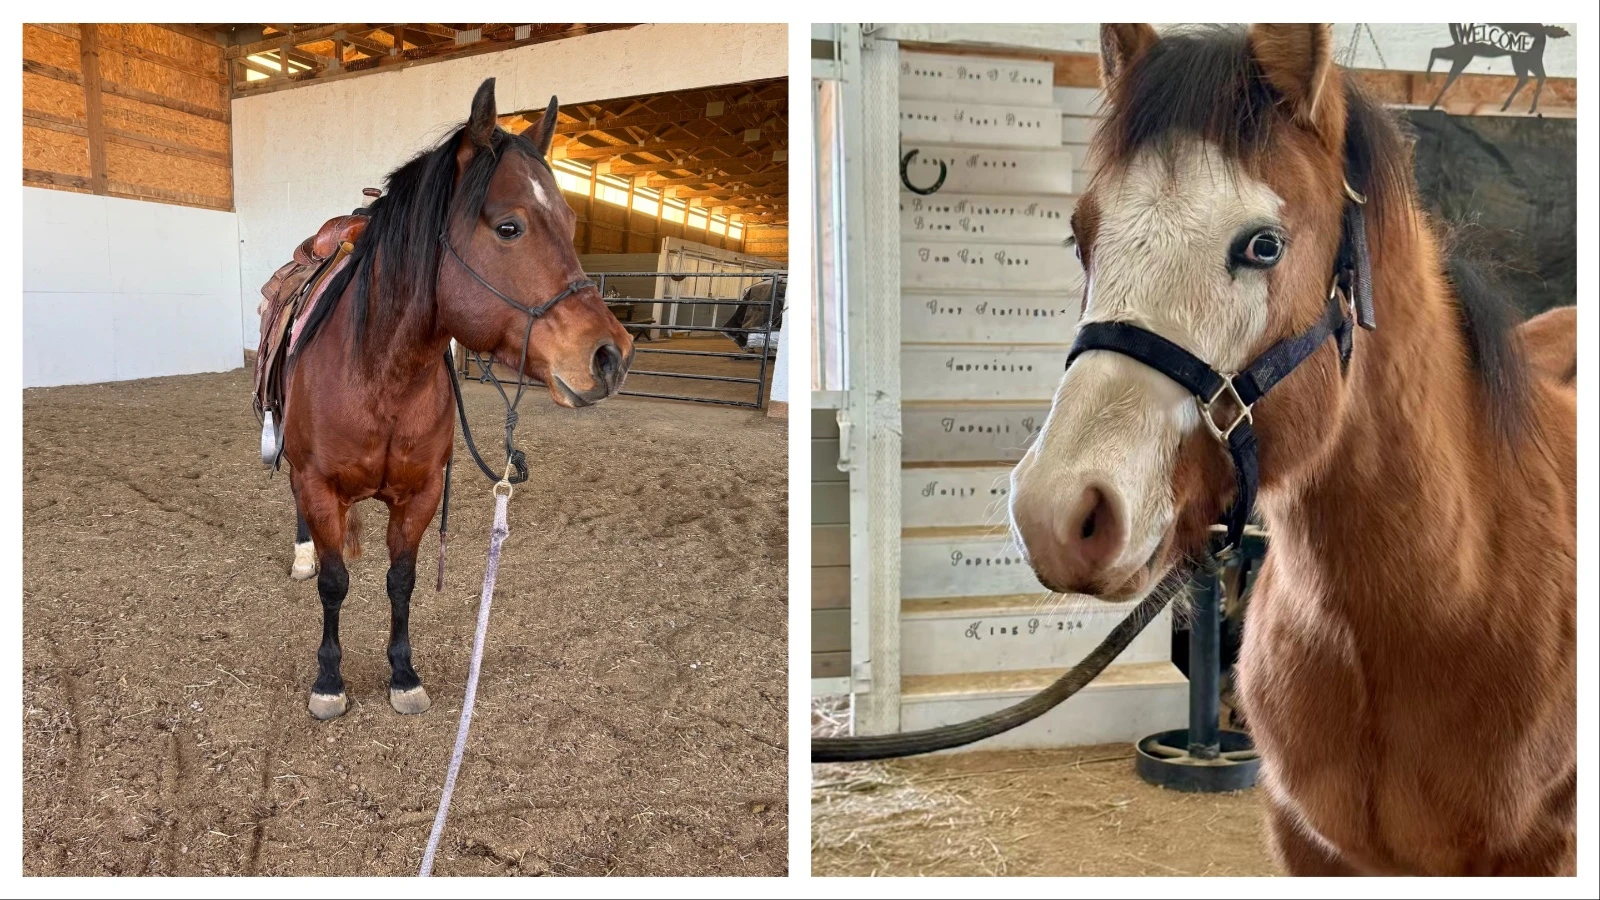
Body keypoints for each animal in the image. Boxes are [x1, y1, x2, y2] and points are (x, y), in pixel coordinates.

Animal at [276, 78, 633, 720]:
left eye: (571, 221)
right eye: (509, 227)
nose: (611, 355)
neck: (381, 377)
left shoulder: (421, 494)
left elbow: (401, 581)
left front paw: (402, 673)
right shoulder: (317, 483)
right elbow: (335, 584)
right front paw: (329, 681)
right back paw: (301, 554)